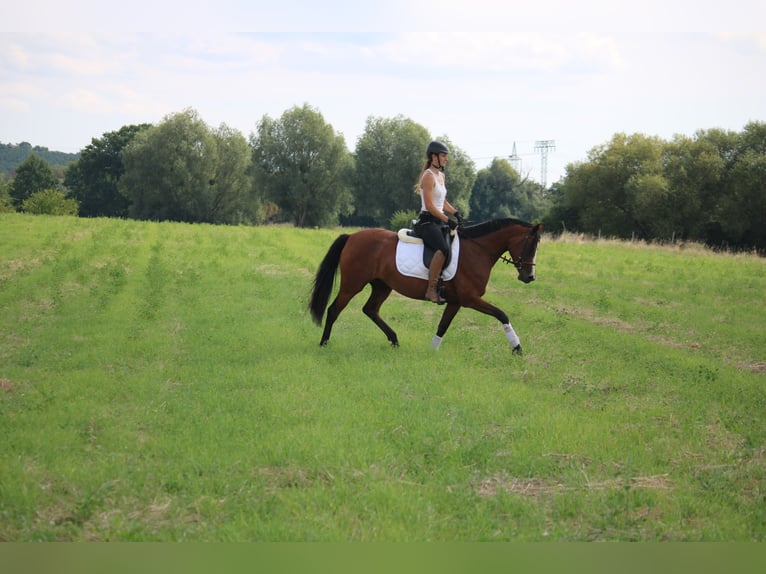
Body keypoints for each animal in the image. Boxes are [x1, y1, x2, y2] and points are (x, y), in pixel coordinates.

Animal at [308, 220, 544, 356]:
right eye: (531, 245)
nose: (529, 277)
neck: (477, 251)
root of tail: (352, 237)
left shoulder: (456, 302)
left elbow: (443, 326)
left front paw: (432, 351)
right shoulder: (470, 299)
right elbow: (501, 314)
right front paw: (517, 348)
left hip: (382, 286)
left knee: (370, 309)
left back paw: (394, 340)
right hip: (353, 284)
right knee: (334, 309)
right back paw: (323, 343)